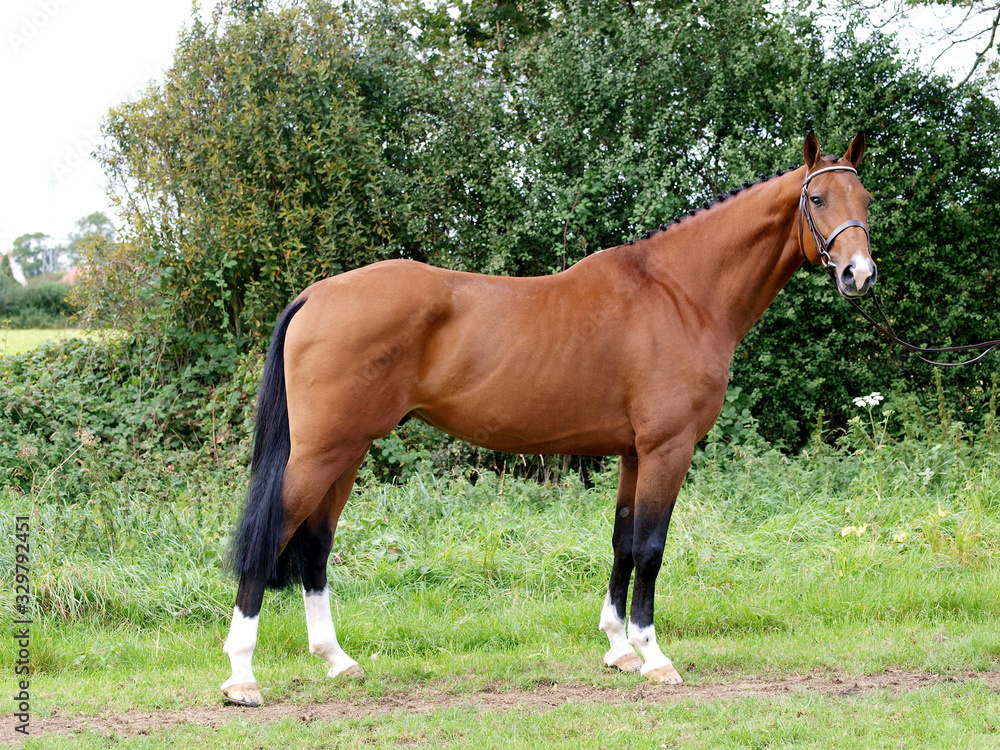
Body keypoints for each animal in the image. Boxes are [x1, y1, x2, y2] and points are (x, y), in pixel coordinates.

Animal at [220, 132, 875, 706]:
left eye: (866, 198)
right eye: (818, 199)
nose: (859, 275)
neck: (681, 292)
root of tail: (316, 295)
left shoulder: (633, 452)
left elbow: (622, 542)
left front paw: (619, 649)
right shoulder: (668, 447)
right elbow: (650, 548)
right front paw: (654, 656)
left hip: (347, 451)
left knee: (315, 544)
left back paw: (337, 660)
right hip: (322, 452)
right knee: (269, 538)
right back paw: (242, 678)